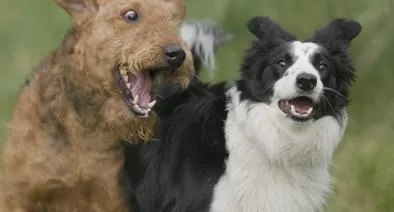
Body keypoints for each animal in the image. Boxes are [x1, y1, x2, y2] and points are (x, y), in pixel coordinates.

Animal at [0, 0, 194, 210]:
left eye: (174, 17)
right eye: (131, 15)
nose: (177, 54)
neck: (85, 131)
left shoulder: (111, 197)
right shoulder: (17, 194)